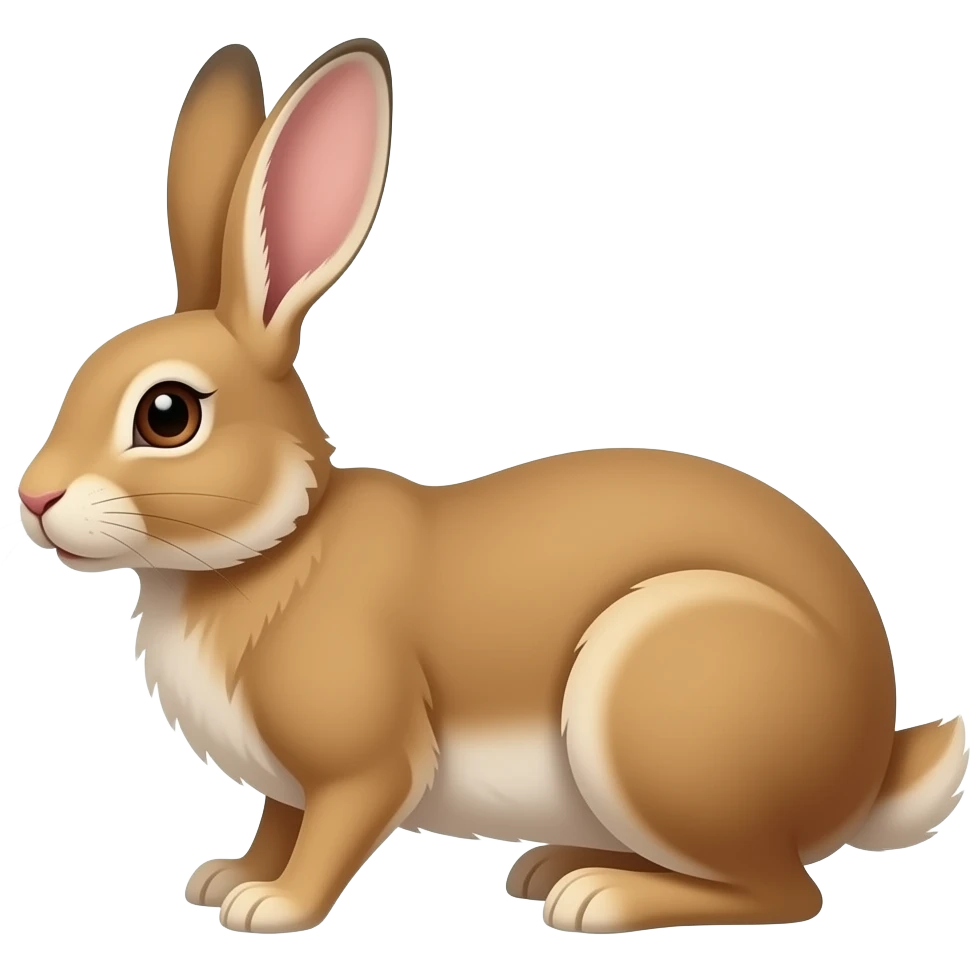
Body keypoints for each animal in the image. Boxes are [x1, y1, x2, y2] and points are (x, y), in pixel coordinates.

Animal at [16, 38, 968, 936]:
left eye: (167, 415)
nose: (35, 498)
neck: (282, 540)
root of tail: (867, 763)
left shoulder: (363, 761)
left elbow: (331, 831)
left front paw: (272, 907)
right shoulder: (285, 784)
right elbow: (278, 823)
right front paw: (228, 877)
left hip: (661, 706)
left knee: (784, 890)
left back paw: (598, 897)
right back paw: (555, 866)